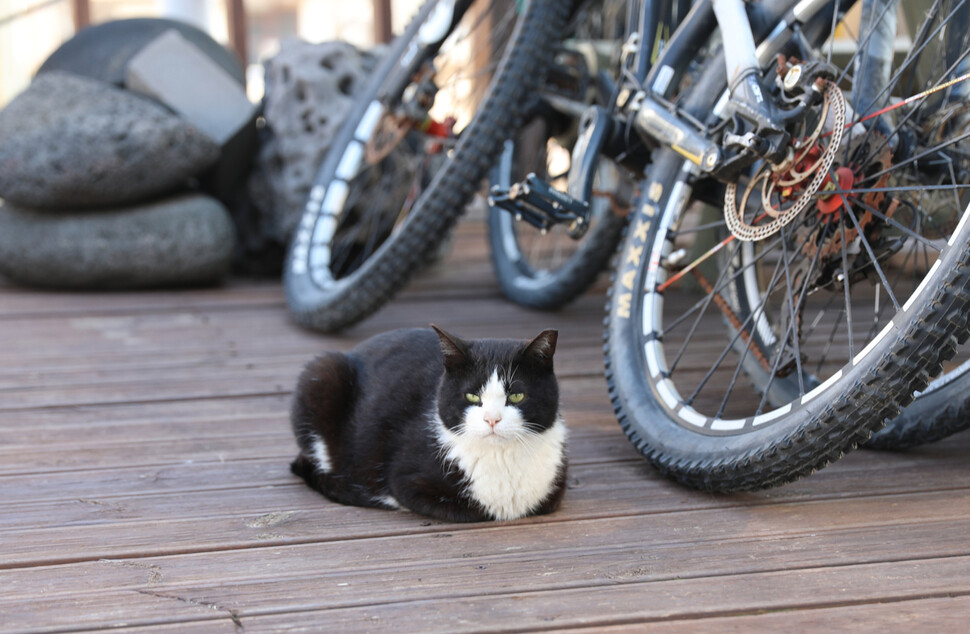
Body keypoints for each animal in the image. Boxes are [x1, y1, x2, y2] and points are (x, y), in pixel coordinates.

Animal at [288, 324, 568, 520]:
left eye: (517, 396)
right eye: (472, 396)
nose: (492, 419)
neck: (501, 459)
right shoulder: (404, 479)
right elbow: (470, 510)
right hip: (323, 373)